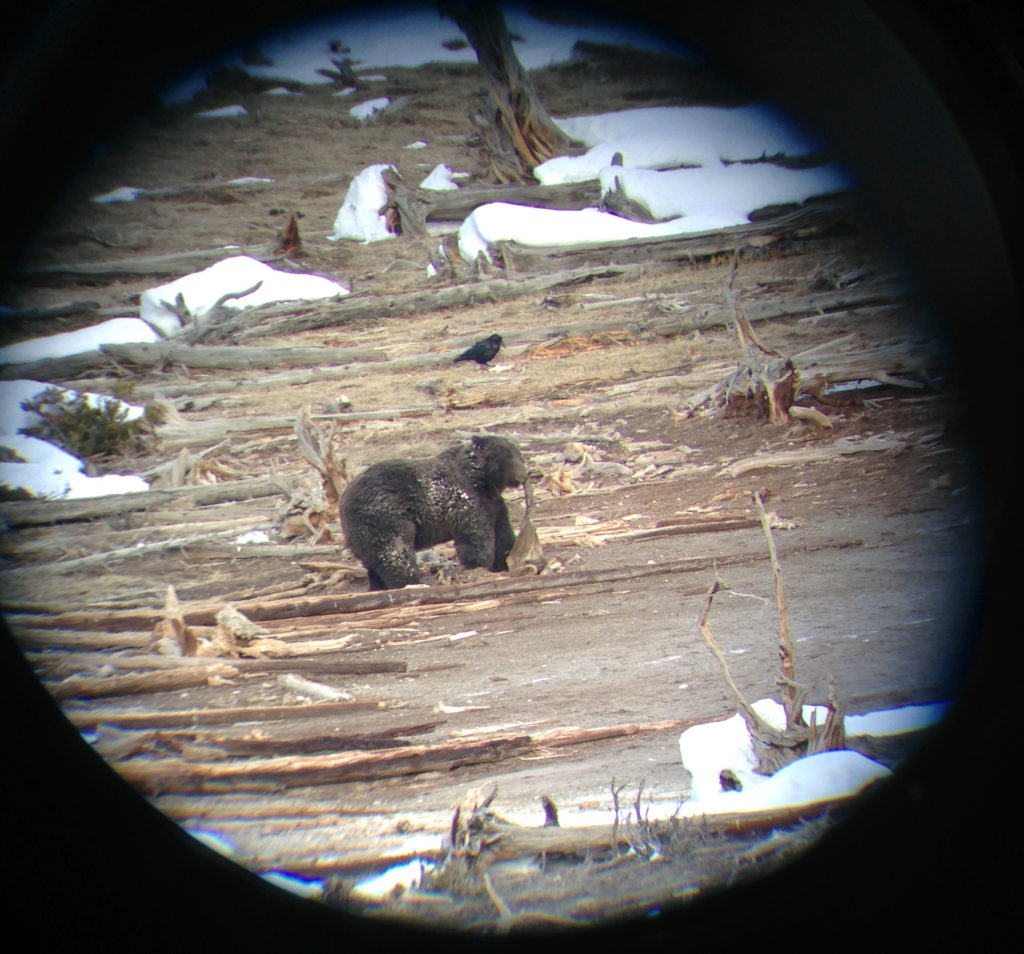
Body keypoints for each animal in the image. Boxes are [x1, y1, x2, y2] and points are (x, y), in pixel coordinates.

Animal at [339, 434, 528, 589]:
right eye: (503, 456)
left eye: (518, 455)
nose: (525, 474)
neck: (483, 483)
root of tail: (344, 501)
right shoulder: (466, 500)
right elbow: (476, 537)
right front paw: (478, 565)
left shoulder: (494, 505)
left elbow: (503, 534)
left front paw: (506, 560)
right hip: (385, 516)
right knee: (396, 554)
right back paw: (412, 583)